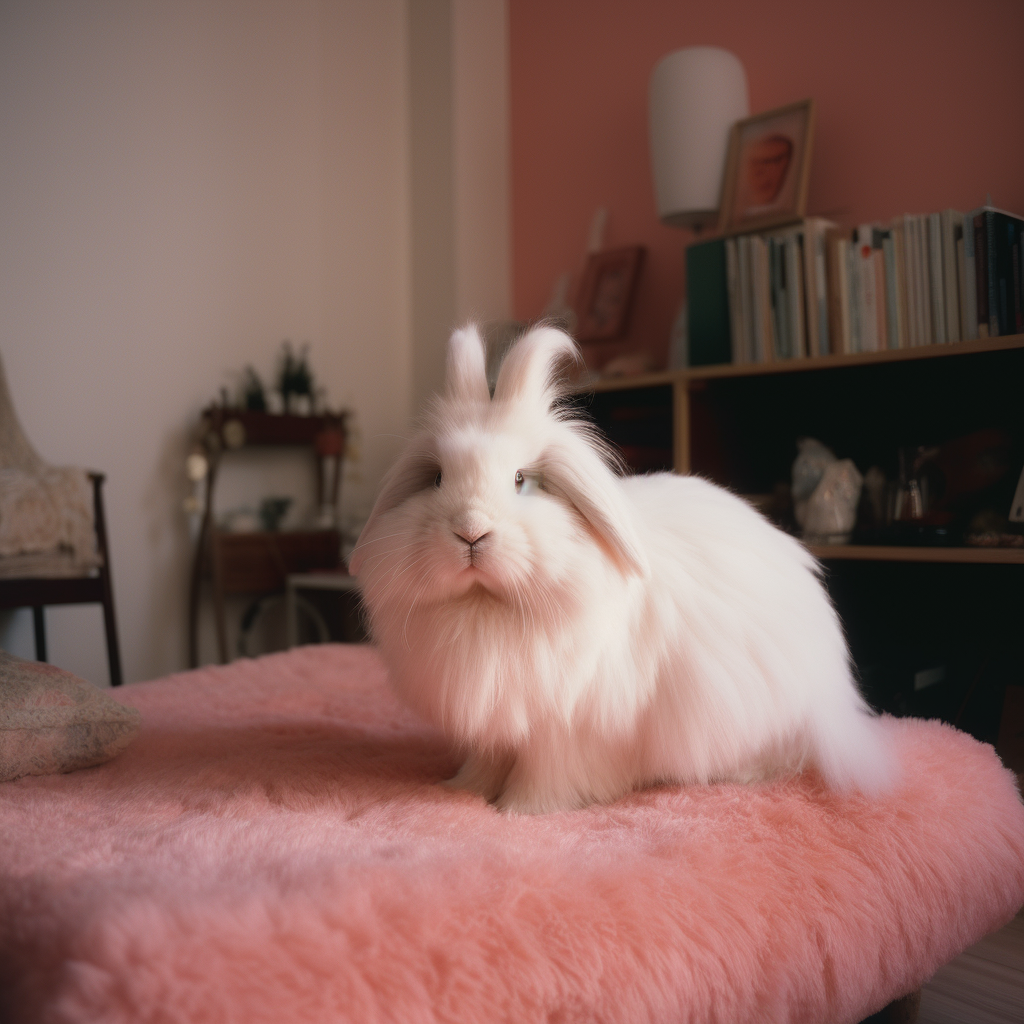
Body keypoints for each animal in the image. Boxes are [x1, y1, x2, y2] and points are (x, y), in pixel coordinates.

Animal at [352, 323, 897, 811]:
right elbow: (486, 764)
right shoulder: (501, 725)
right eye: (437, 478)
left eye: (522, 479)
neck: (487, 608)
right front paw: (461, 793)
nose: (471, 531)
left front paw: (521, 811)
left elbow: (546, 775)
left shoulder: (565, 729)